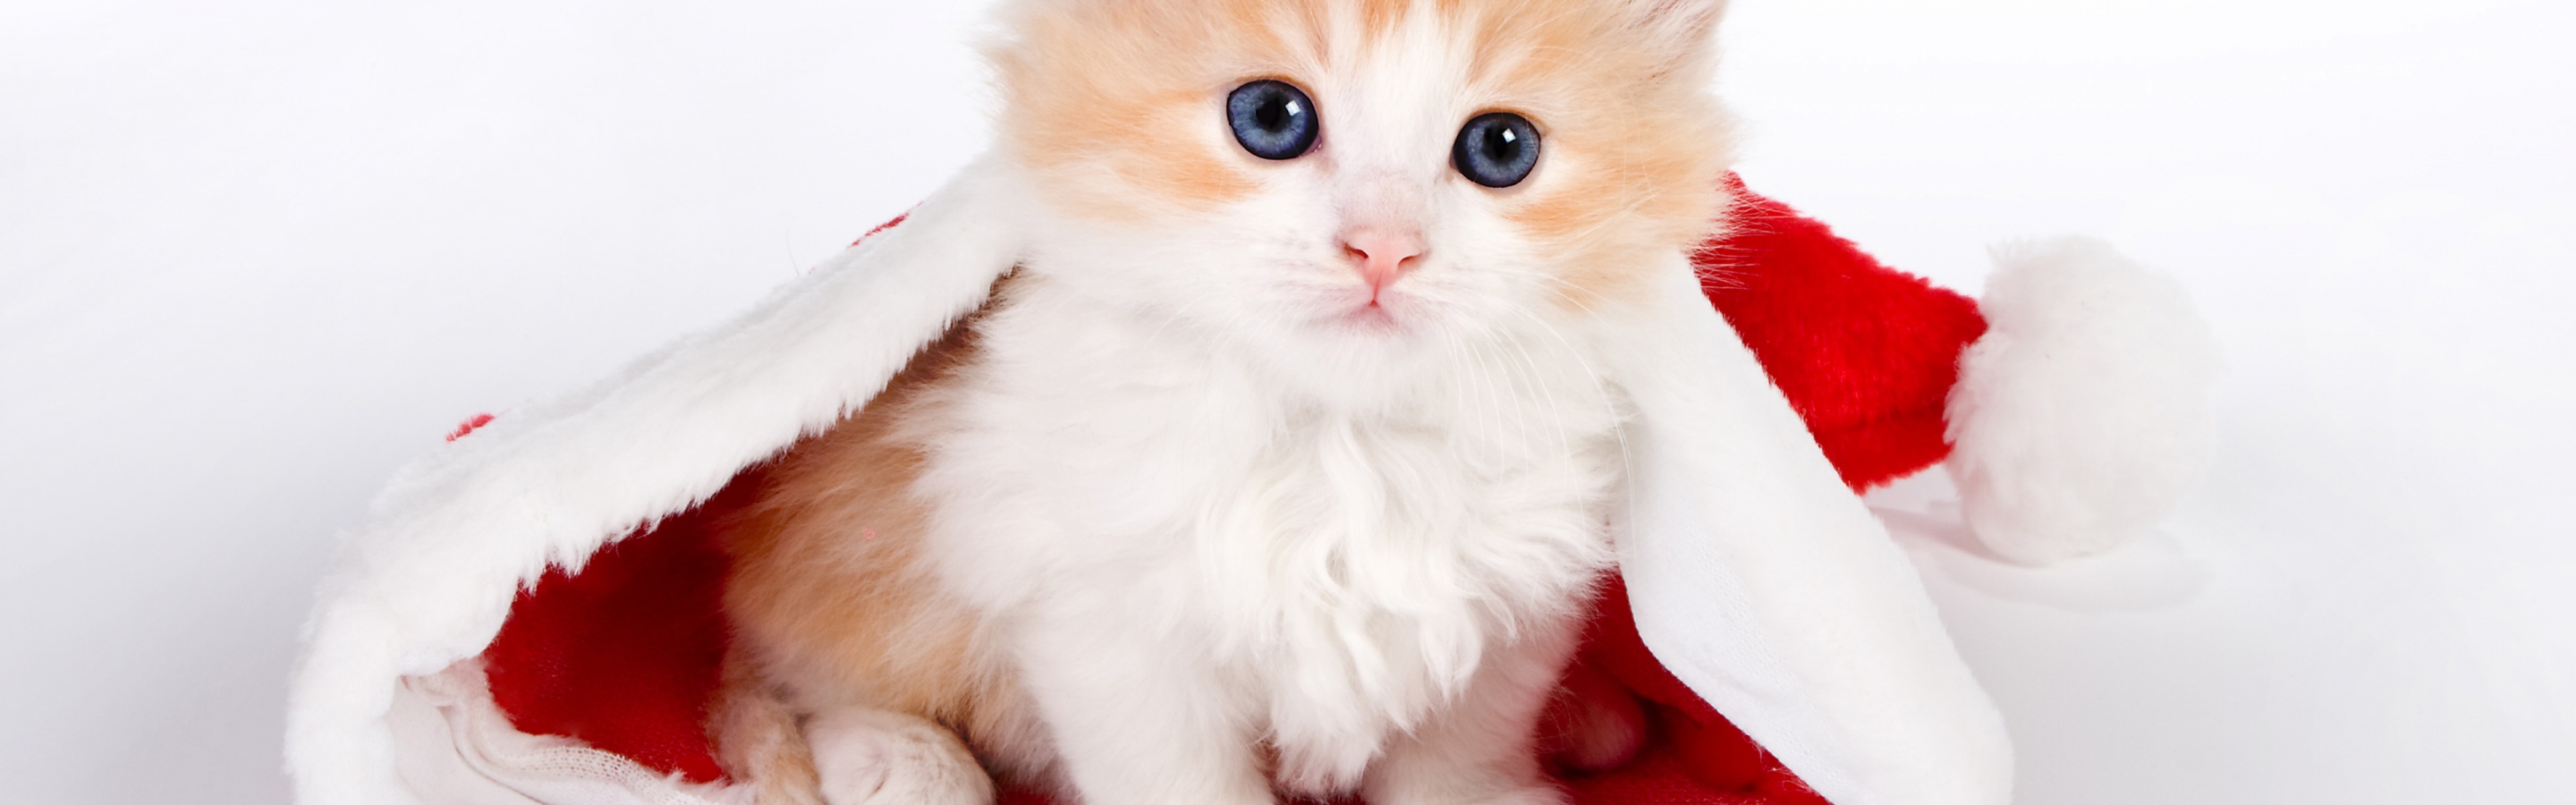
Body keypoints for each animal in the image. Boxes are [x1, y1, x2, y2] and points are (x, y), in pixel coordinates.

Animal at [716, 1, 1741, 805]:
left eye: (1501, 147)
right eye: (1271, 117)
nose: (1383, 247)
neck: (1344, 446)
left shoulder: (1508, 613)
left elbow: (1459, 749)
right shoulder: (1093, 613)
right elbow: (1176, 772)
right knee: (805, 682)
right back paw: (902, 762)